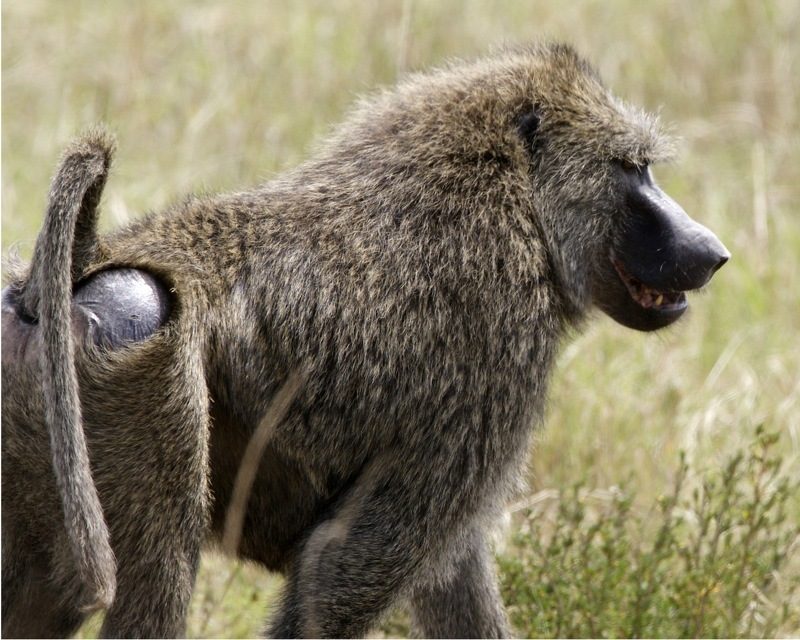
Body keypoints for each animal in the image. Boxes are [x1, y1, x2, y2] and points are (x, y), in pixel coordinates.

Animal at [1, 43, 730, 638]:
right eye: (634, 169)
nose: (712, 251)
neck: (518, 193)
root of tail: (72, 267)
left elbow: (451, 570)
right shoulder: (497, 343)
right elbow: (342, 570)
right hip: (144, 376)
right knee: (159, 577)